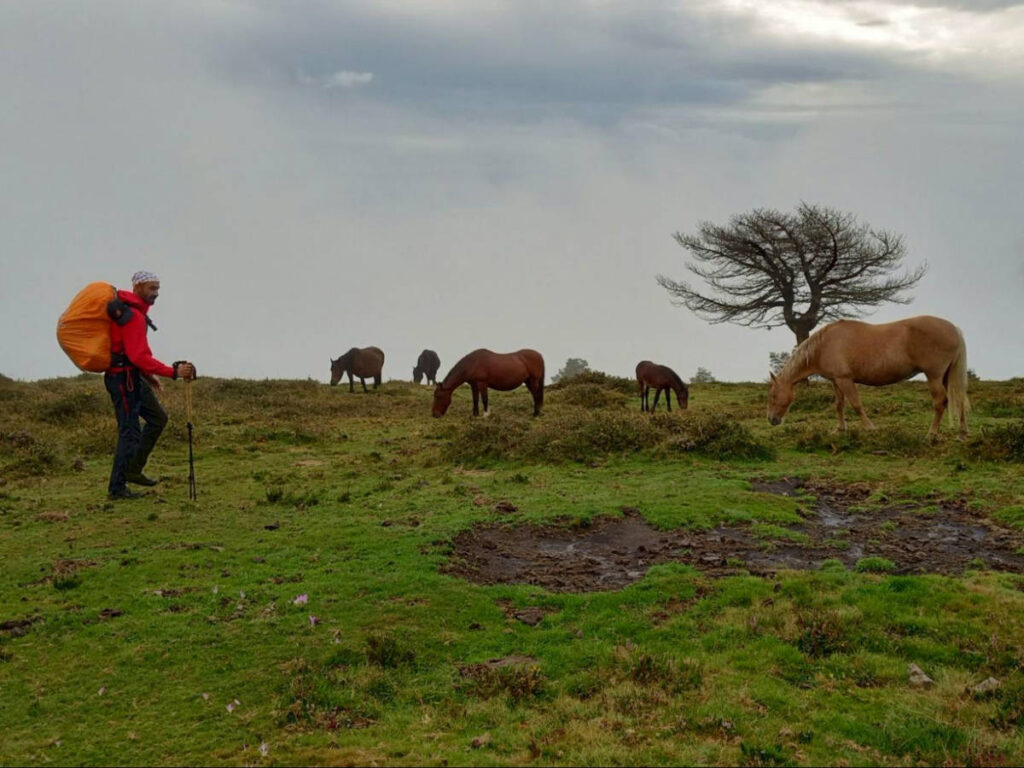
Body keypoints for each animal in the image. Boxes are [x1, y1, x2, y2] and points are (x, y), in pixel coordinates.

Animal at [767, 316, 969, 438]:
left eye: (774, 395)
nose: (771, 420)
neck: (824, 346)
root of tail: (954, 329)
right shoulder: (836, 381)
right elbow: (839, 405)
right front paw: (840, 429)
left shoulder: (845, 380)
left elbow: (856, 404)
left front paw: (870, 428)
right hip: (946, 376)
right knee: (958, 398)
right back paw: (962, 432)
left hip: (934, 376)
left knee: (940, 402)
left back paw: (931, 434)